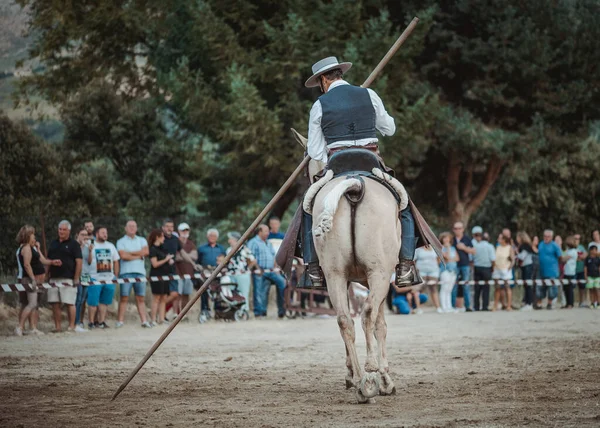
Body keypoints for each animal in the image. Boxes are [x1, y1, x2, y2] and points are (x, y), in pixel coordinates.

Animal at [292, 130, 406, 402]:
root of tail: (354, 185)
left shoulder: (343, 280)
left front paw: (350, 374)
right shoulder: (380, 280)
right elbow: (380, 325)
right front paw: (385, 379)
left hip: (334, 275)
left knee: (345, 320)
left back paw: (361, 384)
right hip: (378, 273)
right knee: (367, 316)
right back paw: (372, 374)